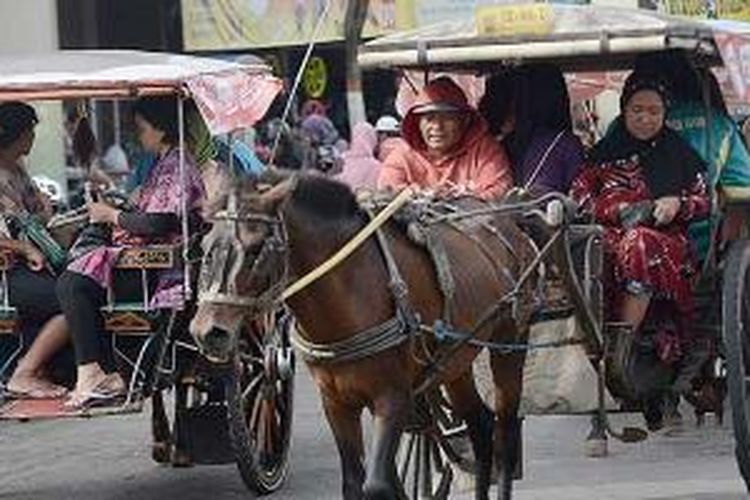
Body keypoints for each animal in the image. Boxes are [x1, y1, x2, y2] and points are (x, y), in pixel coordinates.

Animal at [191, 173, 536, 500]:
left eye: (255, 250)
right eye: (206, 248)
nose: (207, 331)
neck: (349, 293)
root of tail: (507, 218)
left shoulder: (393, 398)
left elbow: (376, 485)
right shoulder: (336, 403)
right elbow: (353, 483)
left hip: (509, 342)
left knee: (504, 434)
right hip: (455, 362)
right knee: (480, 426)